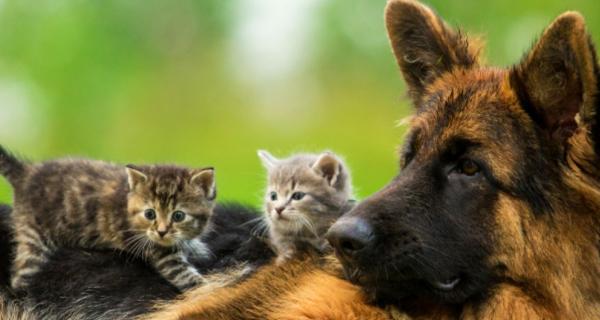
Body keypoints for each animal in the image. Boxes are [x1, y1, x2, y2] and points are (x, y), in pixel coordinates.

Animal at [0, 146, 216, 292]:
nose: (161, 231)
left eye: (178, 215)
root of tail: (27, 174)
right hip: (33, 236)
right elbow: (192, 281)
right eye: (150, 214)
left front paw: (194, 247)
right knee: (21, 275)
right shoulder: (161, 254)